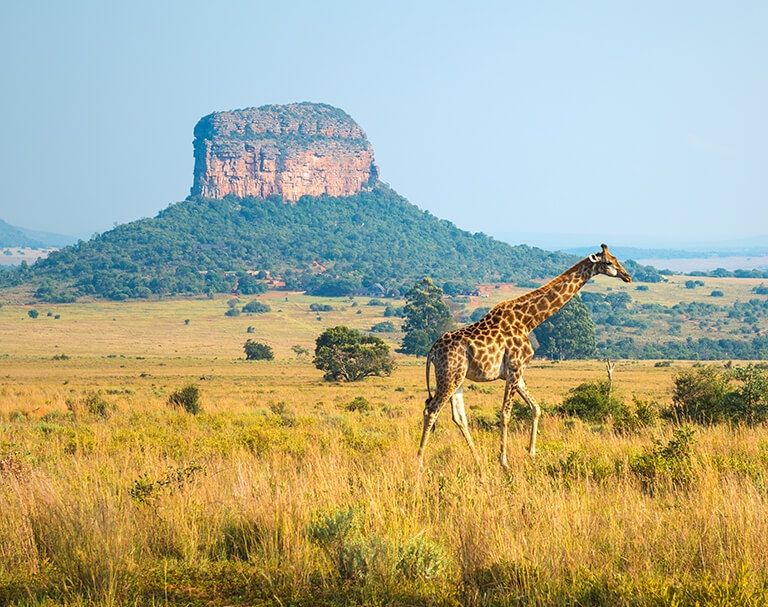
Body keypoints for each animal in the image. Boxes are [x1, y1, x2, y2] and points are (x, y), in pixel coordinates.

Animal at [420, 243, 632, 470]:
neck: (528, 321)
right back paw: (420, 462)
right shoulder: (514, 368)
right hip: (449, 375)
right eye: (608, 262)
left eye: (616, 258)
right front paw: (504, 461)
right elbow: (505, 413)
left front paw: (531, 453)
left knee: (459, 417)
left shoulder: (517, 372)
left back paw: (478, 460)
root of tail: (432, 351)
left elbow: (536, 408)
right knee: (431, 410)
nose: (627, 276)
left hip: (457, 377)